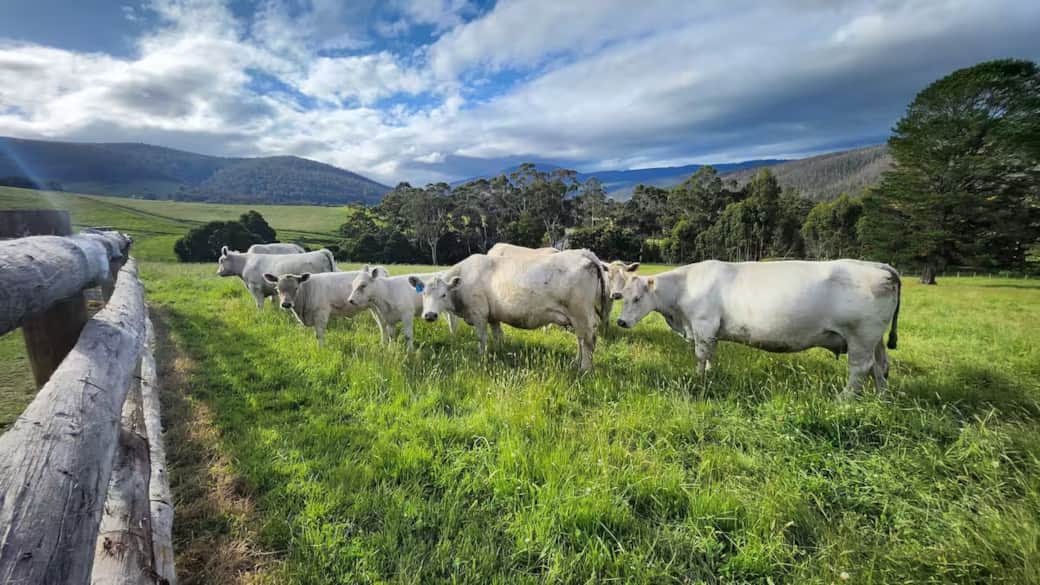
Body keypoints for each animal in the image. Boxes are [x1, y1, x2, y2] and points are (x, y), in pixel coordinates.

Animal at [409, 250, 607, 371]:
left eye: (443, 294)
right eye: (423, 293)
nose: (430, 315)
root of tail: (582, 252)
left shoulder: (479, 314)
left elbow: (481, 338)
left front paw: (482, 357)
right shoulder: (492, 316)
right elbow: (498, 335)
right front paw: (500, 352)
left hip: (580, 314)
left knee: (588, 340)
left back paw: (584, 368)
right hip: (576, 317)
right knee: (580, 340)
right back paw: (576, 362)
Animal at [615, 259, 901, 399]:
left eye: (637, 298)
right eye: (620, 296)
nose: (621, 322)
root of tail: (878, 266)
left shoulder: (703, 326)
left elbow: (700, 356)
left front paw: (698, 379)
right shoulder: (711, 331)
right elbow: (711, 355)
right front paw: (710, 374)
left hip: (861, 336)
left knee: (860, 369)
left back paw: (843, 399)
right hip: (873, 340)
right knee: (880, 366)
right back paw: (882, 398)